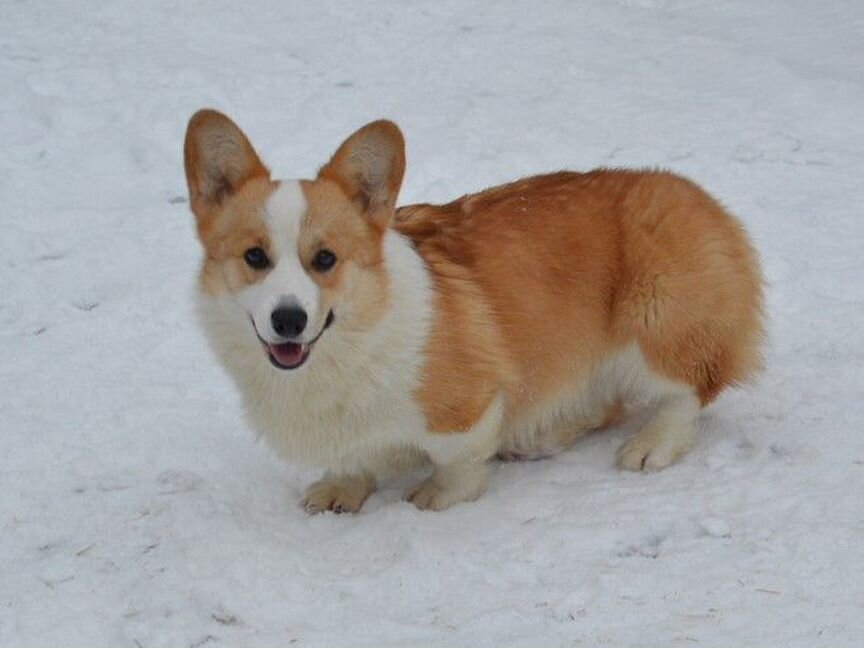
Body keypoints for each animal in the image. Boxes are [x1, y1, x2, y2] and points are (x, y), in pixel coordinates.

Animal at [184, 112, 764, 516]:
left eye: (324, 259)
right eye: (254, 257)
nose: (289, 320)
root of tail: (707, 201)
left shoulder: (467, 406)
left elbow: (458, 459)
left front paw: (438, 496)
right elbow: (356, 460)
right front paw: (342, 487)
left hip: (654, 323)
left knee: (688, 390)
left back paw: (651, 444)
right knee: (607, 400)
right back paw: (545, 433)